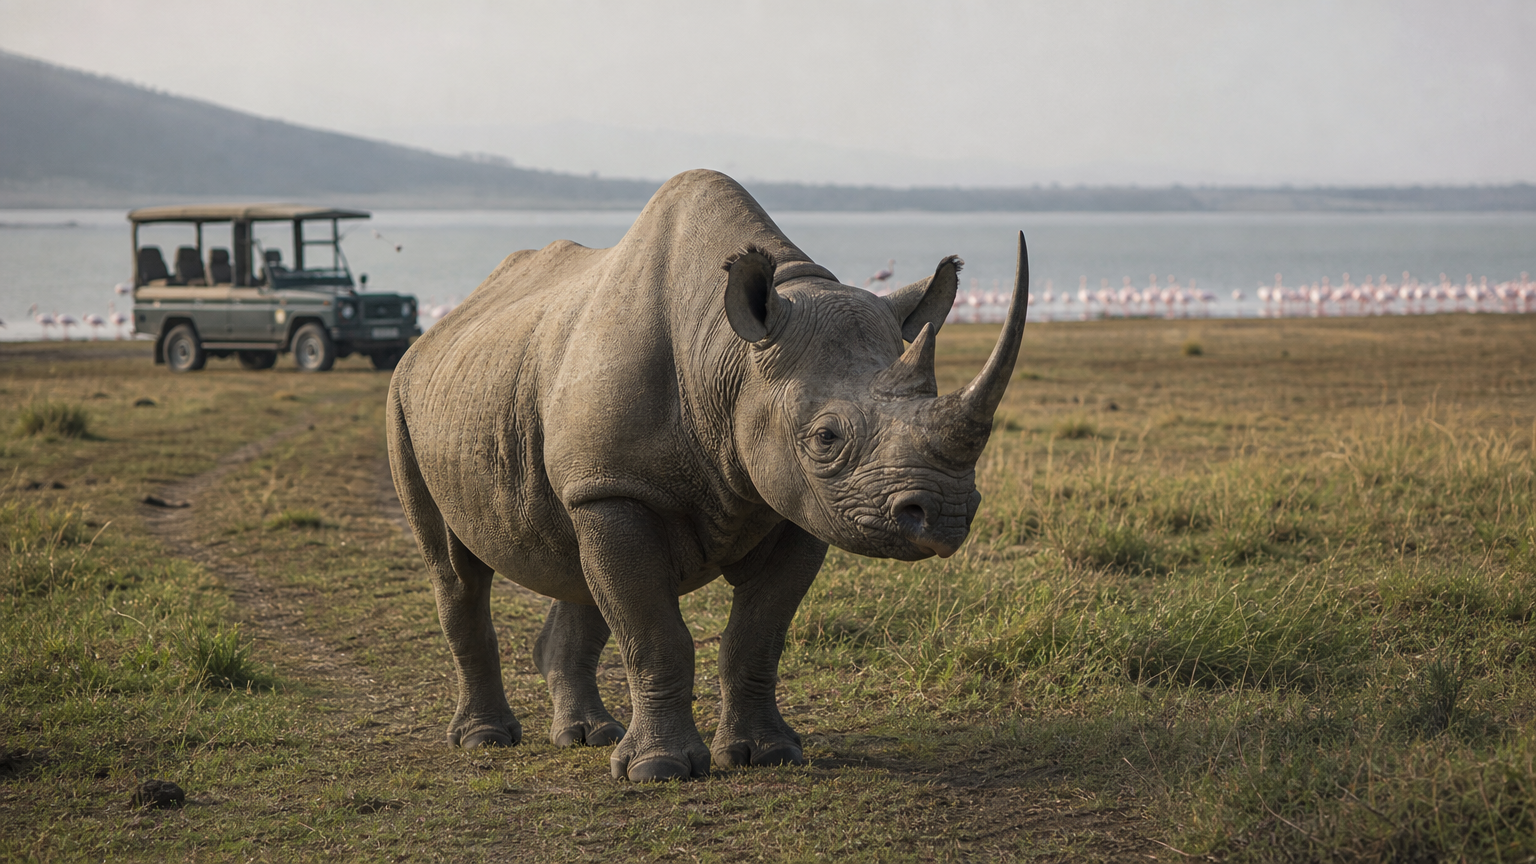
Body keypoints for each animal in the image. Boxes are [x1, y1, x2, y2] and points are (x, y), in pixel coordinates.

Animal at [387, 169, 1028, 782]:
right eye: (826, 438)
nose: (944, 514)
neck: (728, 355)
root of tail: (440, 327)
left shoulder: (795, 503)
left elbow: (757, 635)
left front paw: (767, 755)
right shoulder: (617, 488)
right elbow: (654, 635)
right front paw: (658, 770)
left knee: (578, 563)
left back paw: (588, 735)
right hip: (405, 396)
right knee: (456, 572)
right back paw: (486, 738)